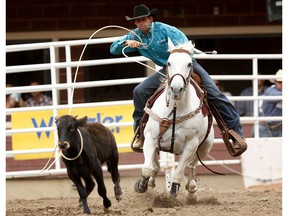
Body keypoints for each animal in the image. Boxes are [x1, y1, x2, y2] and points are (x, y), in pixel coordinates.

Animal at [134, 38, 214, 203]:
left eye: (189, 63)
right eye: (168, 63)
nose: (176, 88)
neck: (176, 108)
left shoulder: (191, 144)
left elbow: (177, 173)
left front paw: (172, 195)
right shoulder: (151, 138)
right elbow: (147, 168)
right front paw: (142, 185)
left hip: (205, 147)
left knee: (191, 166)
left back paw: (191, 192)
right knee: (156, 165)